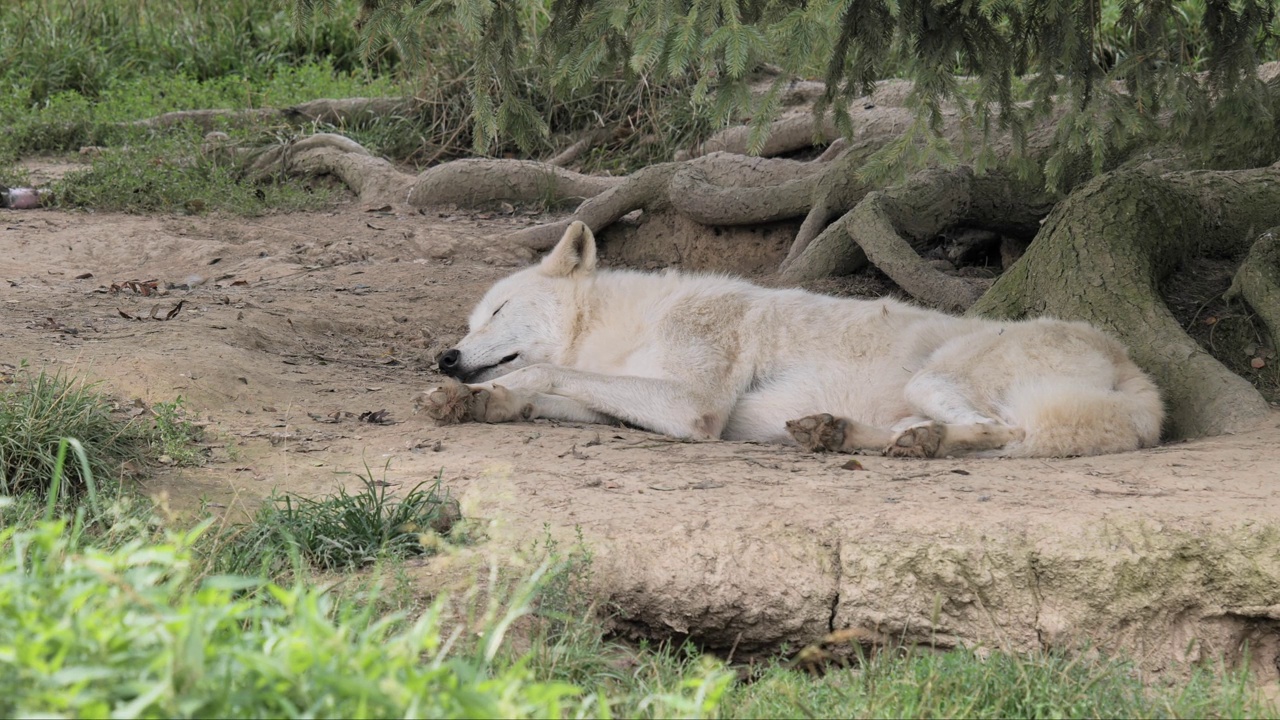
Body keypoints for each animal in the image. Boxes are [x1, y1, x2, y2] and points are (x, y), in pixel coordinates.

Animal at [424, 220, 1167, 453]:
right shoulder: (627, 396)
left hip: (937, 377)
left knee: (999, 434)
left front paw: (485, 393)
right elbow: (548, 394)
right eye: (468, 322)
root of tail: (1132, 366)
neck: (628, 326)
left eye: (497, 311)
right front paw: (478, 402)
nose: (446, 355)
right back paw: (836, 433)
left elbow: (546, 372)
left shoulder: (693, 406)